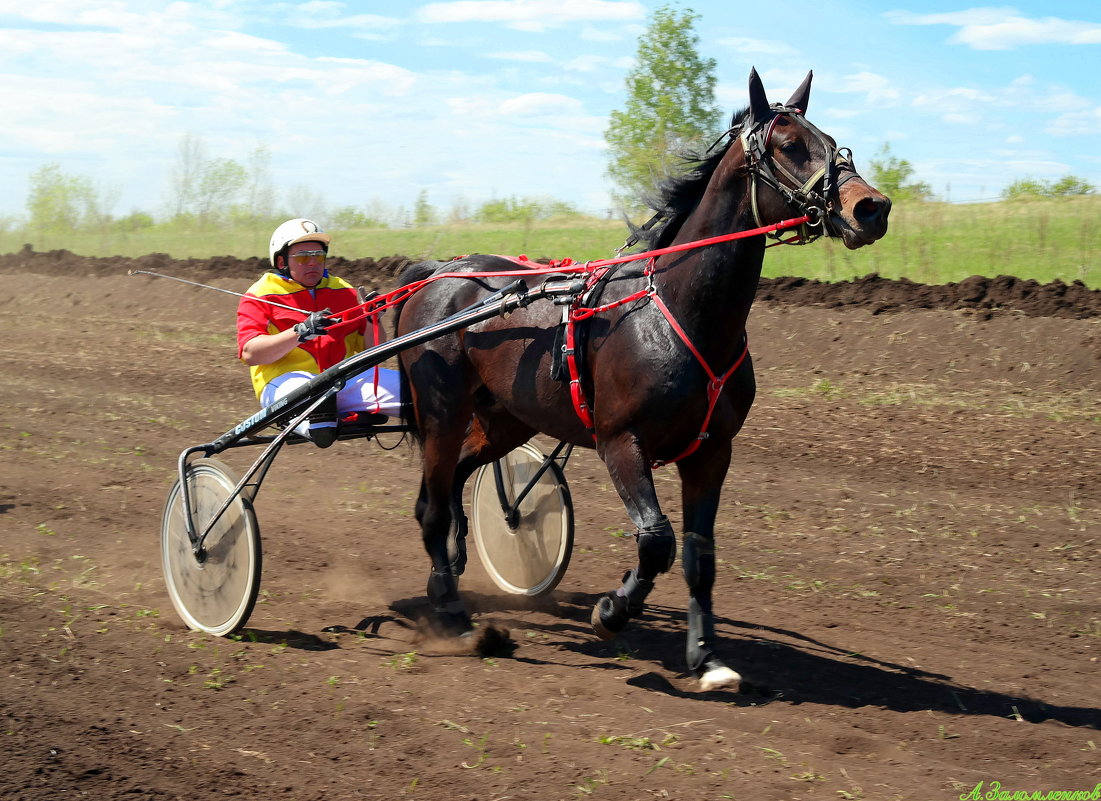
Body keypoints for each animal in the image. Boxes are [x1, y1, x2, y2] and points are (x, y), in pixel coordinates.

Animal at [391, 70, 889, 695]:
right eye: (789, 145)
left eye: (831, 139)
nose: (872, 207)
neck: (682, 311)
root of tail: (437, 273)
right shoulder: (620, 441)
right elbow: (656, 541)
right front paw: (613, 609)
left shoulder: (711, 452)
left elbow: (700, 555)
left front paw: (706, 656)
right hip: (443, 408)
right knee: (432, 504)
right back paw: (454, 614)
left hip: (507, 417)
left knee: (453, 479)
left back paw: (456, 564)